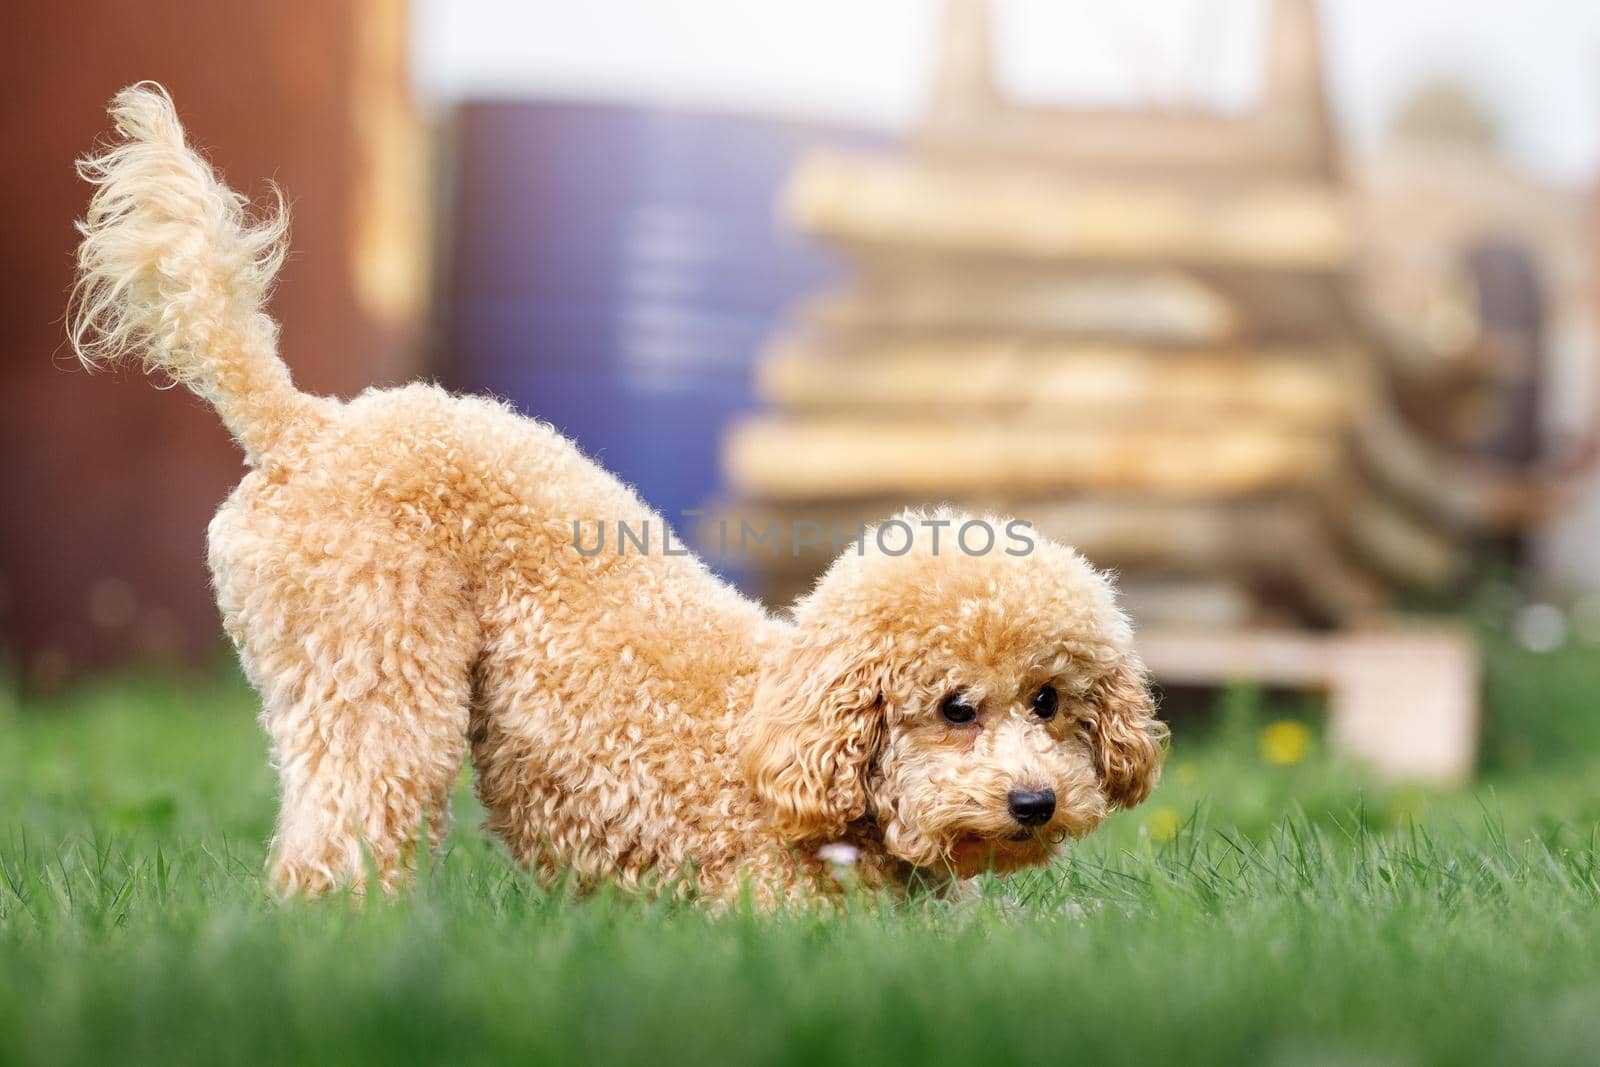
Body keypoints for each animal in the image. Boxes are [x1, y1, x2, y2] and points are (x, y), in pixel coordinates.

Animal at [68, 85, 1164, 902]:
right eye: (953, 707)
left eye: (1051, 700)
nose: (1033, 801)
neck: (785, 741)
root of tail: (307, 422)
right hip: (369, 663)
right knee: (348, 817)